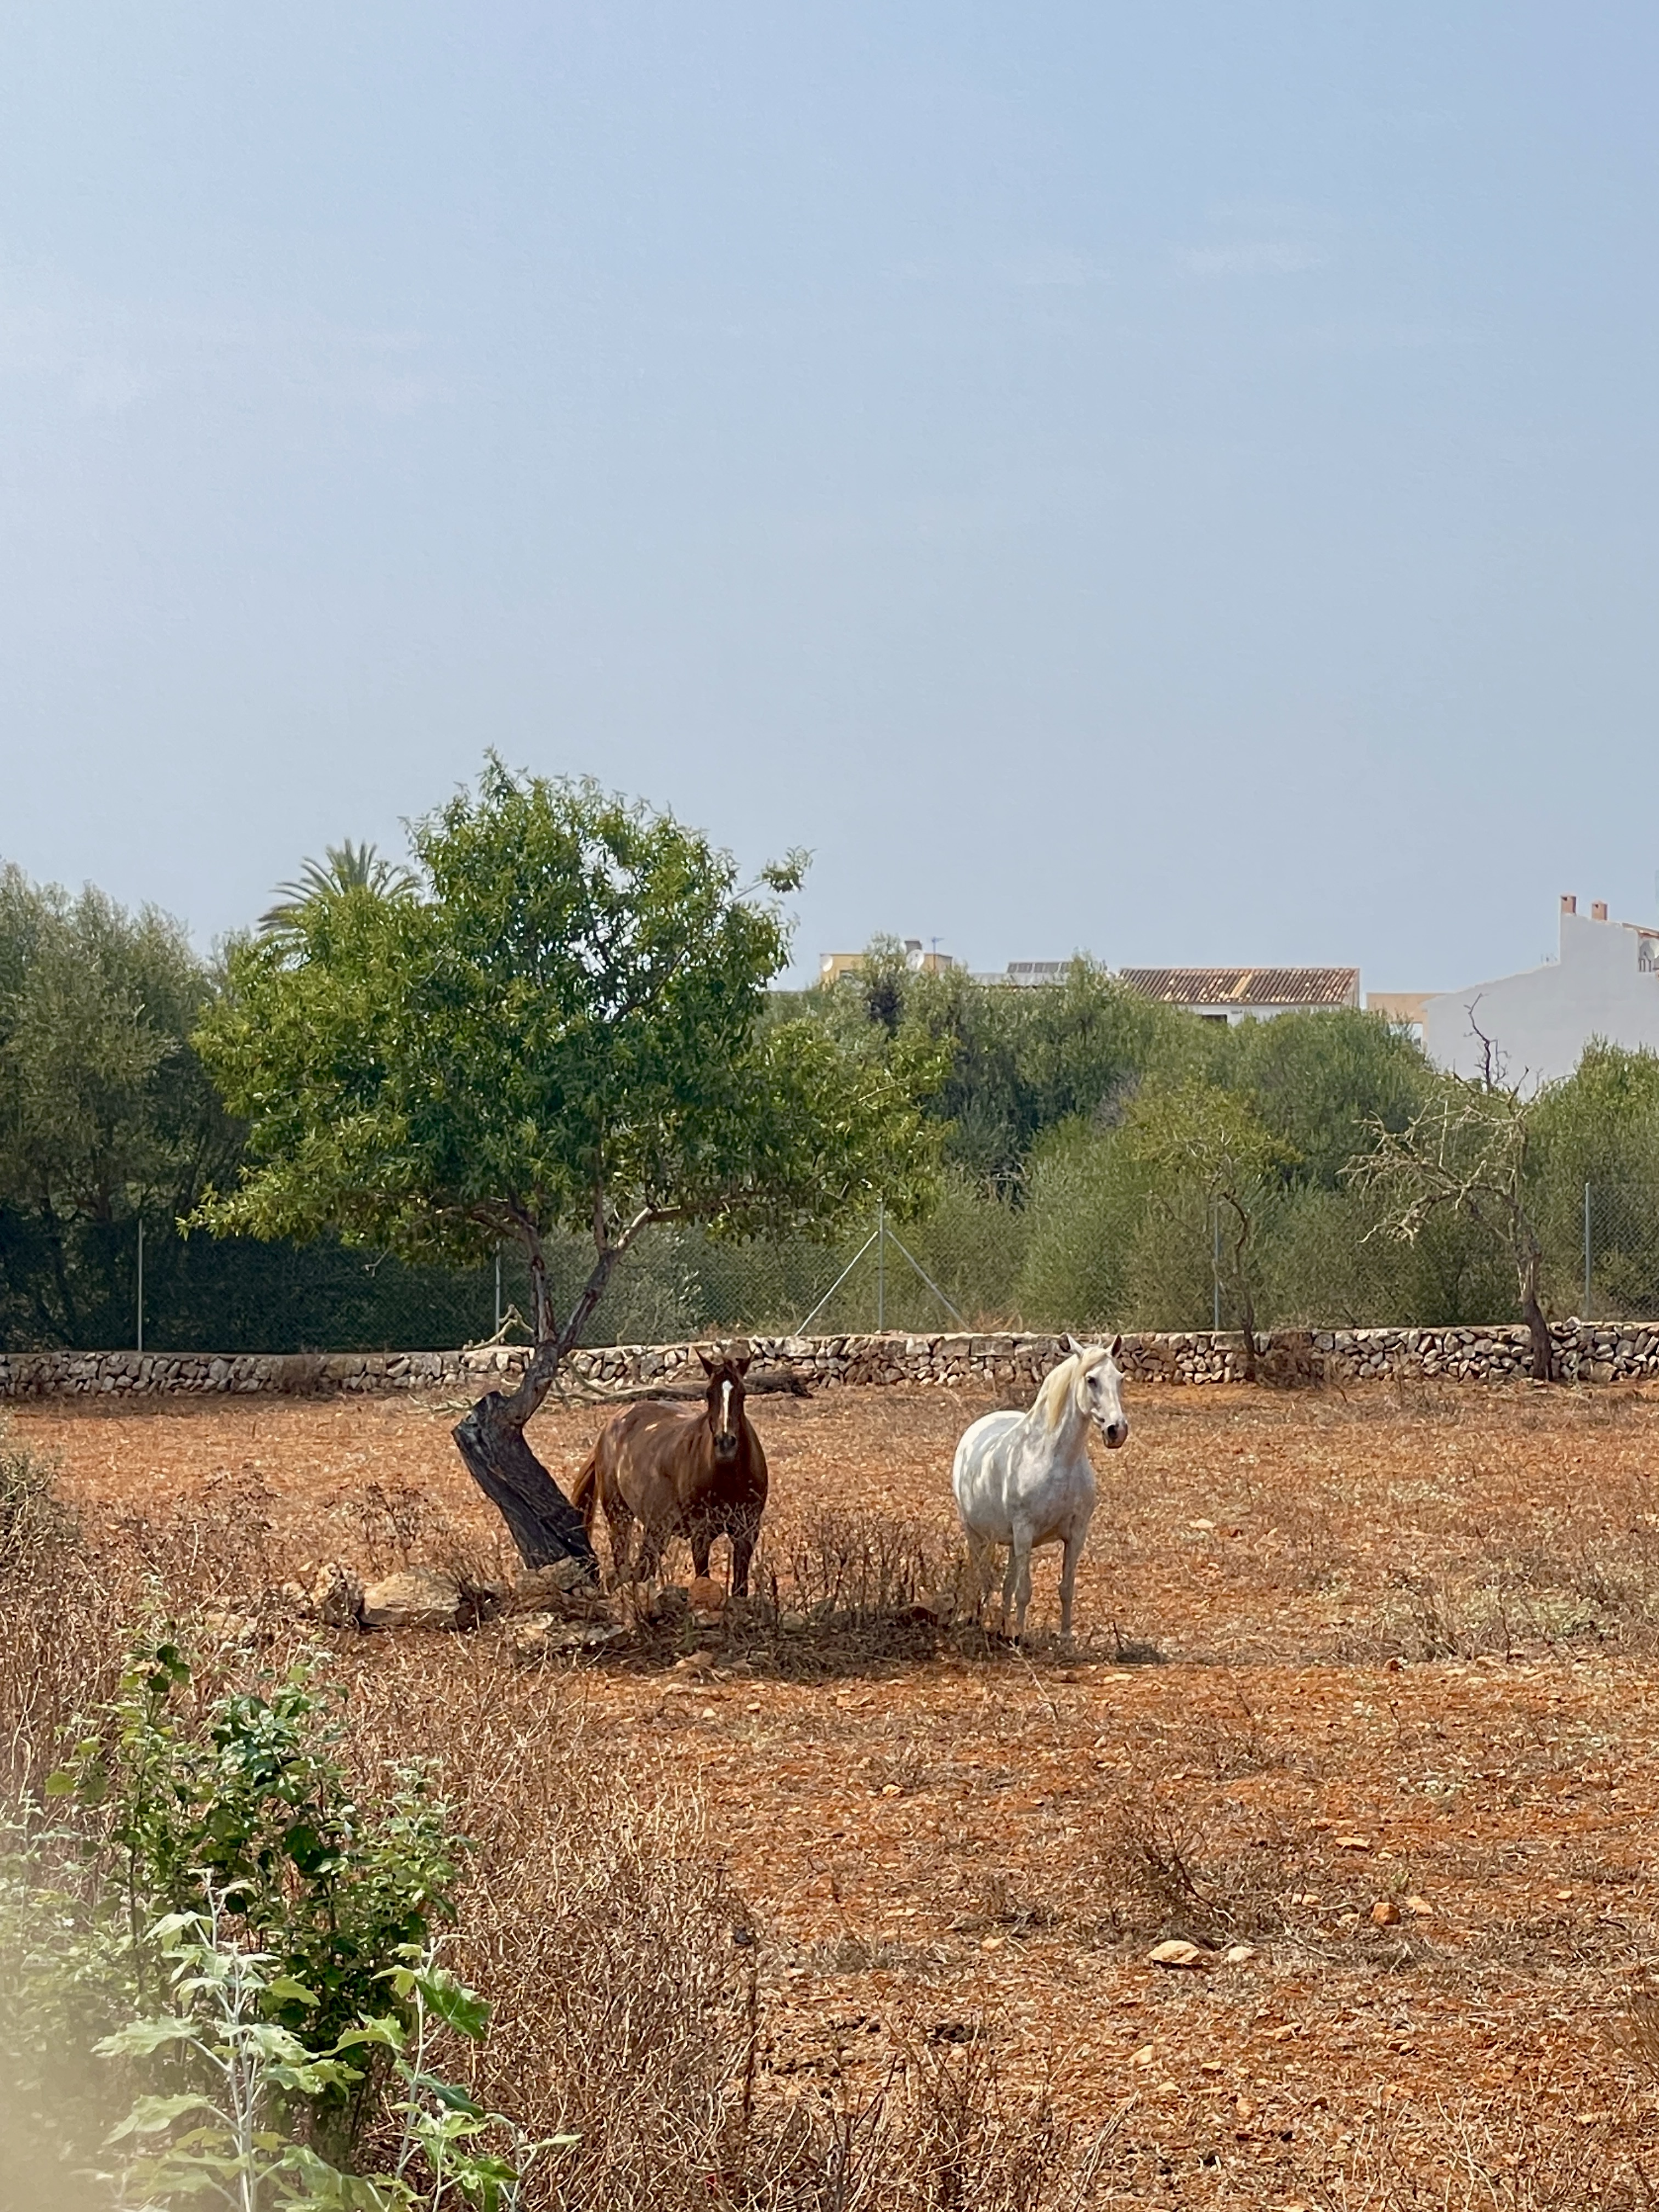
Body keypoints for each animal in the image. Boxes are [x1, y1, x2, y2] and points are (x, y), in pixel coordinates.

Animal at [571, 1351, 769, 1595]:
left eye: (742, 1394)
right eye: (708, 1394)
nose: (725, 1443)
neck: (729, 1477)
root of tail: (610, 1425)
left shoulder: (746, 1533)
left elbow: (740, 1590)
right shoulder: (701, 1534)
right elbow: (703, 1581)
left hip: (656, 1529)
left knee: (637, 1572)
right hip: (620, 1516)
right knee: (622, 1571)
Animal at [950, 1334, 1129, 1642]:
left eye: (1119, 1379)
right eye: (1091, 1380)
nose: (1117, 1430)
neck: (1055, 1459)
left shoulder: (1076, 1534)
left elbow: (1065, 1588)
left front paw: (1065, 1638)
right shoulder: (1025, 1531)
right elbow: (1024, 1591)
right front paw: (1021, 1637)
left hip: (1009, 1542)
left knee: (1004, 1585)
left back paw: (1001, 1627)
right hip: (978, 1535)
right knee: (981, 1578)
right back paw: (979, 1621)